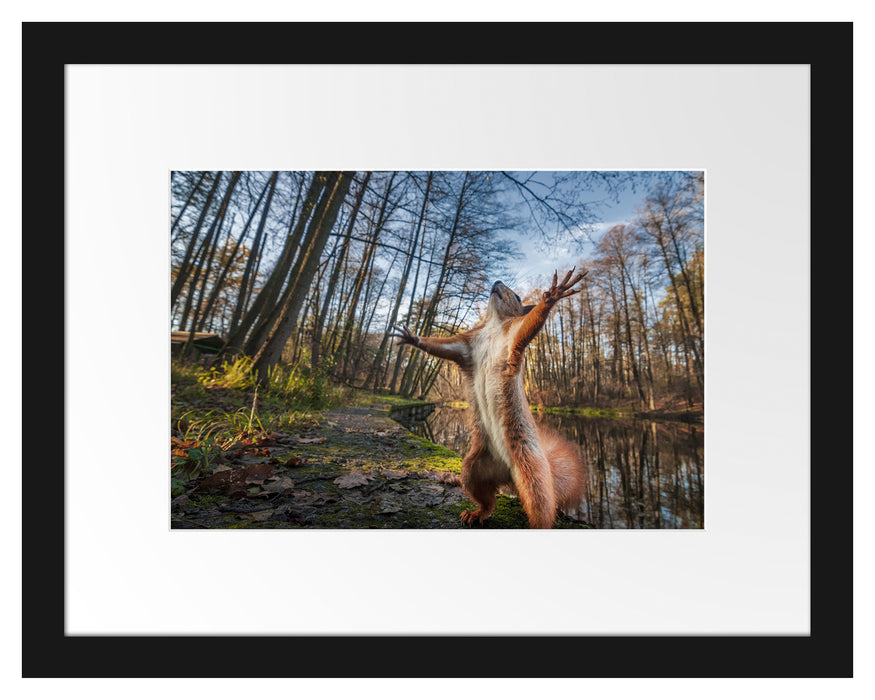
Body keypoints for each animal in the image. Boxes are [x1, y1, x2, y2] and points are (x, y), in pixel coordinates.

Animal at [392, 268, 588, 528]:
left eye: (517, 296)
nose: (497, 281)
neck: (494, 325)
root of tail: (509, 474)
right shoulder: (466, 347)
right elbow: (441, 347)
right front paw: (413, 338)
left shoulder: (514, 335)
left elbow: (531, 324)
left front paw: (552, 296)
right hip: (474, 467)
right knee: (487, 500)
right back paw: (475, 514)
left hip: (533, 473)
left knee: (540, 506)